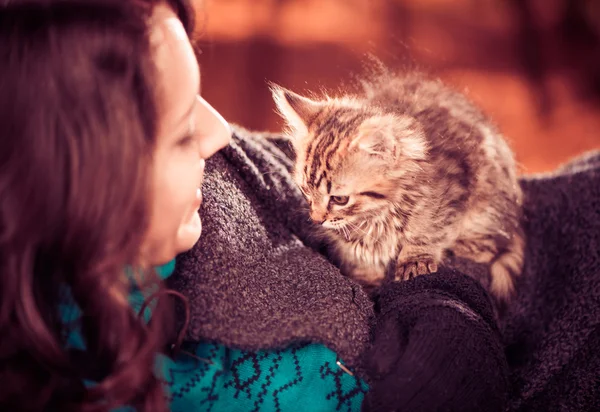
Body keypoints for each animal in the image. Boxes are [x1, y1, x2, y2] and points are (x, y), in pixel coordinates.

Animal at [270, 71, 524, 300]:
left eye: (339, 199)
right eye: (305, 191)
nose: (316, 220)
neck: (376, 214)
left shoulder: (452, 188)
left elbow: (429, 227)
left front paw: (415, 258)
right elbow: (357, 252)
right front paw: (367, 278)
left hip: (488, 204)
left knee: (489, 247)